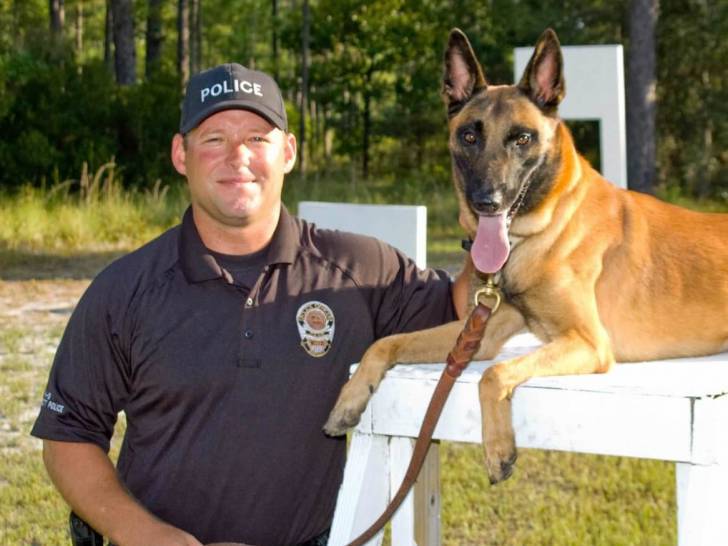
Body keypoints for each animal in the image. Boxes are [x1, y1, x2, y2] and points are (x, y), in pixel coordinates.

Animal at [324, 27, 728, 482]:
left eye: (522, 138)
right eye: (469, 136)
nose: (487, 202)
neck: (543, 230)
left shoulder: (588, 342)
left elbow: (494, 374)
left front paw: (498, 446)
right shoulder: (480, 334)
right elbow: (385, 343)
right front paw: (350, 398)